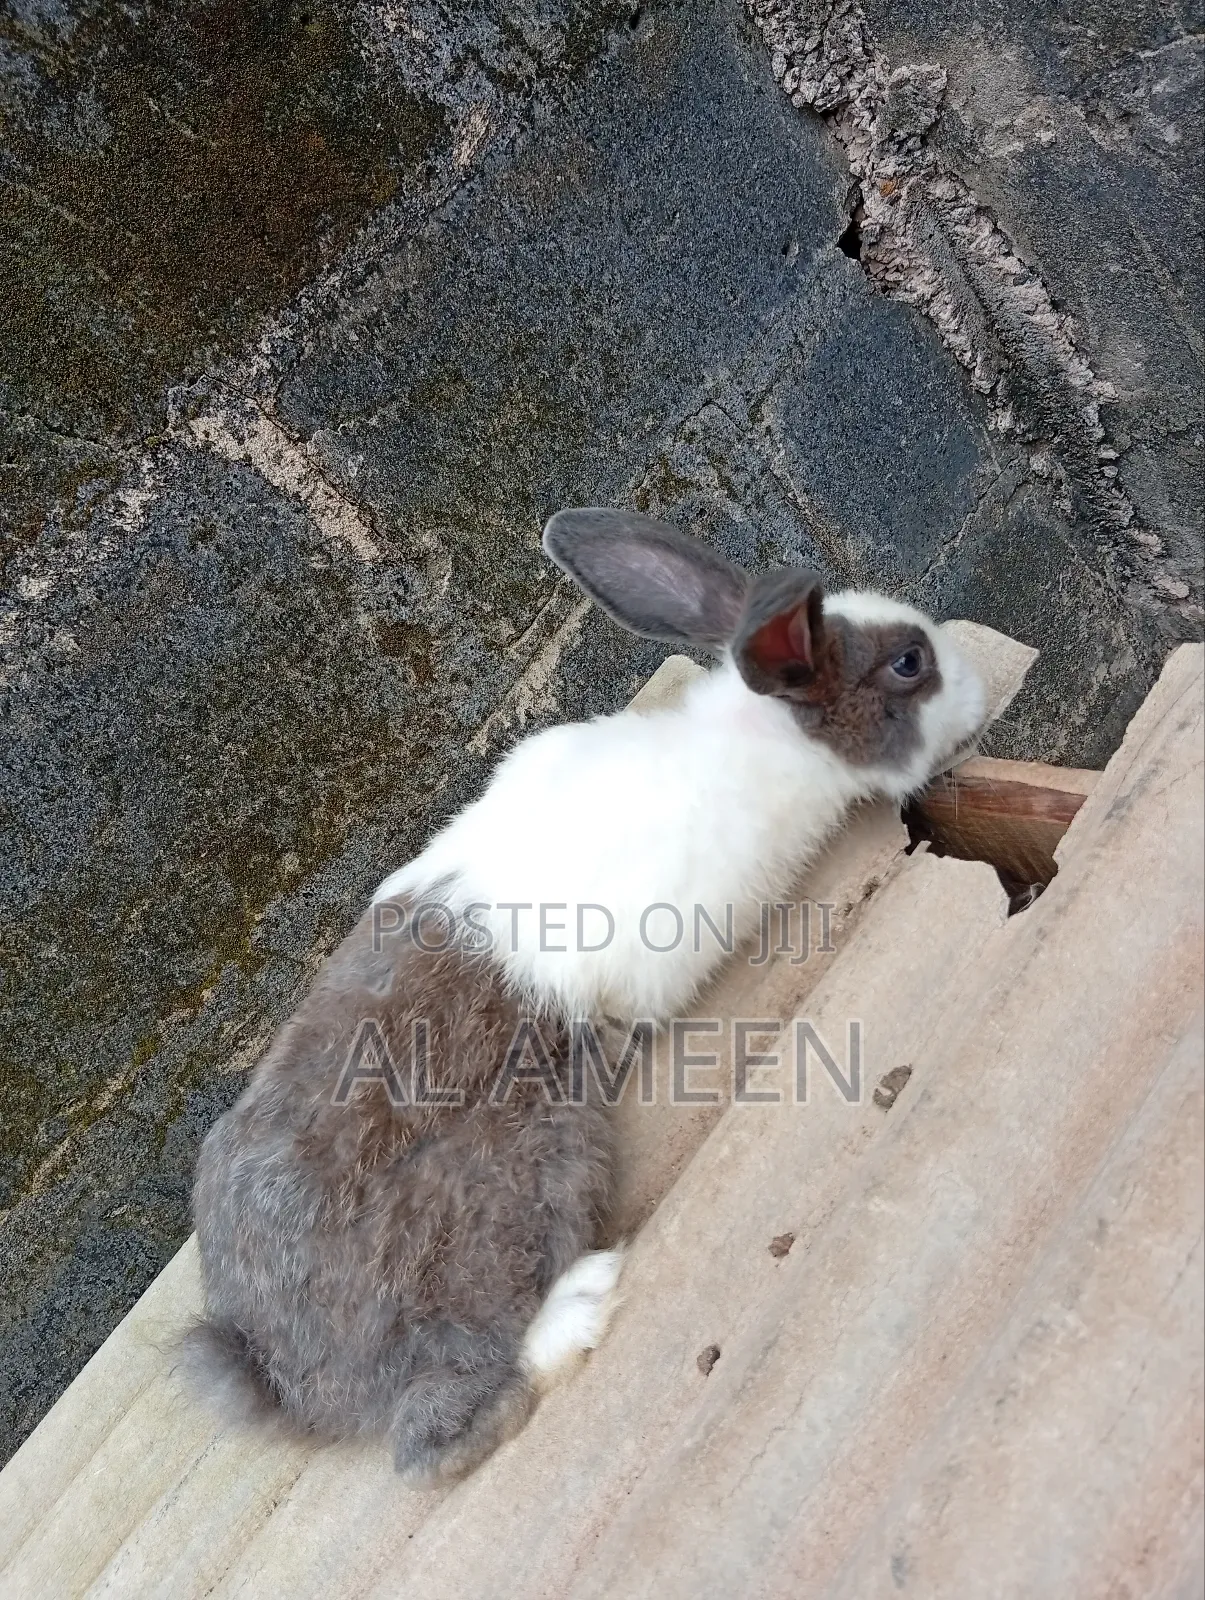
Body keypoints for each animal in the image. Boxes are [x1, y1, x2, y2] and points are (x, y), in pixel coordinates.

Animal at [188, 508, 987, 1485]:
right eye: (909, 664)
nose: (977, 688)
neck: (757, 742)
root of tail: (277, 1369)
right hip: (528, 1171)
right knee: (431, 1436)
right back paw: (578, 1305)